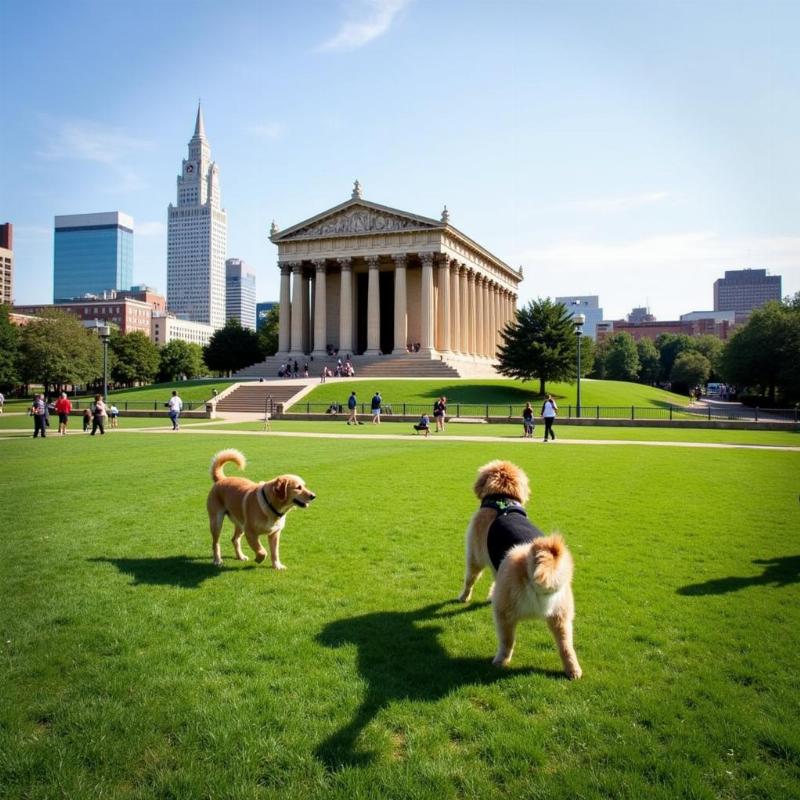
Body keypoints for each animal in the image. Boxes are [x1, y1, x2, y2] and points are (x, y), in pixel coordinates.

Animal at [456, 460, 580, 680]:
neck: (503, 500)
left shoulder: (475, 554)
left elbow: (470, 579)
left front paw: (463, 597)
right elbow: (493, 579)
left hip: (504, 613)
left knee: (507, 642)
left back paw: (499, 661)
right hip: (562, 616)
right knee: (566, 646)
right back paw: (573, 671)